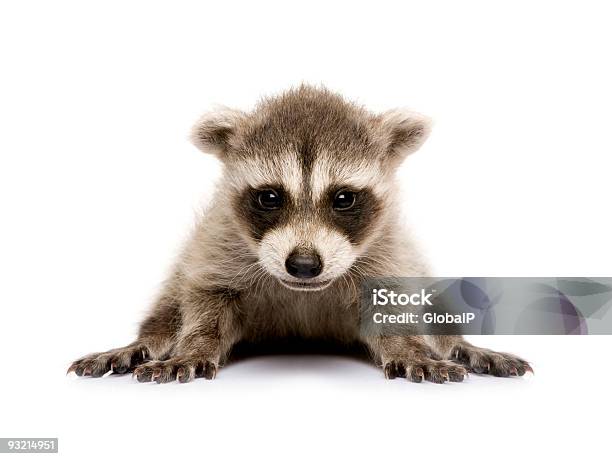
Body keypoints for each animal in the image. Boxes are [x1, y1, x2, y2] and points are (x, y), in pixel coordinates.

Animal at [69, 86, 532, 384]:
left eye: (343, 198)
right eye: (270, 197)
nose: (304, 265)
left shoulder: (390, 250)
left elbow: (395, 308)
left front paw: (408, 348)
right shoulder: (218, 243)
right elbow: (206, 301)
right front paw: (195, 347)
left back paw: (458, 344)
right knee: (167, 308)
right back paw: (146, 341)